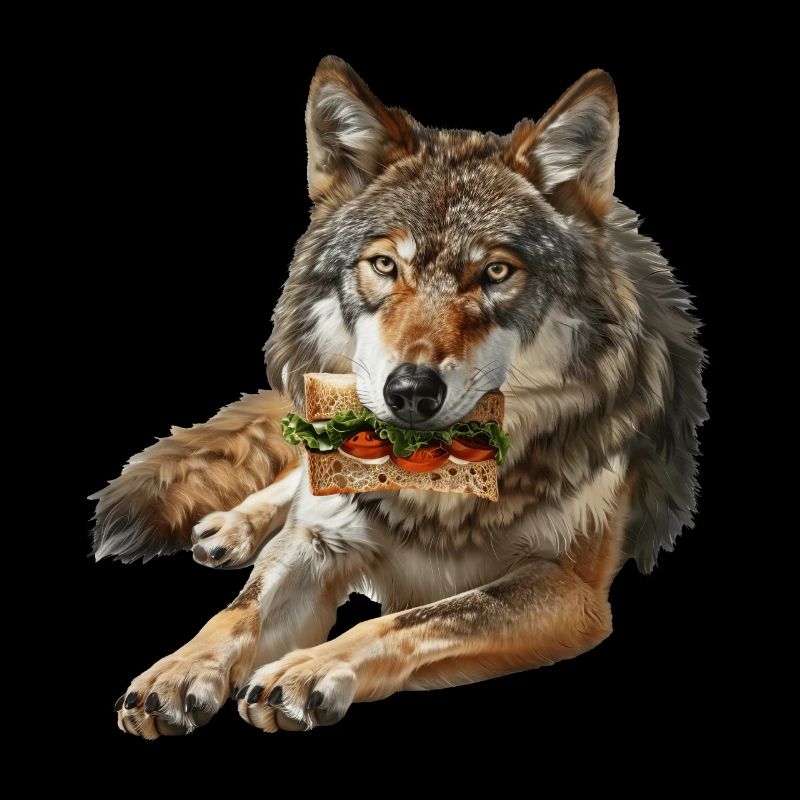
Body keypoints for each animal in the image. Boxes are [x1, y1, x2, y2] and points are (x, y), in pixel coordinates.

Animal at [92, 56, 706, 737]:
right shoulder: (320, 540)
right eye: (385, 265)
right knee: (289, 482)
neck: (433, 492)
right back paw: (232, 527)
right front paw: (178, 669)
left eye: (496, 272)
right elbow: (238, 611)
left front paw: (306, 668)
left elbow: (405, 618)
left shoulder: (568, 588)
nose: (411, 390)